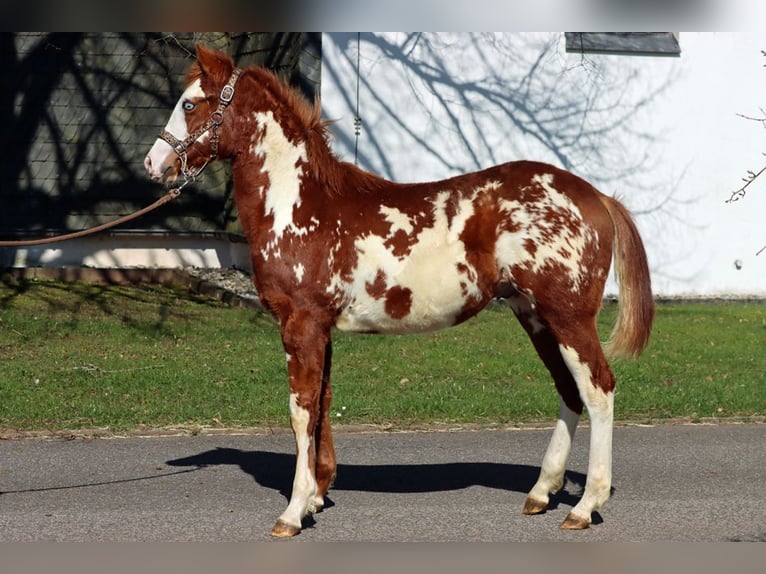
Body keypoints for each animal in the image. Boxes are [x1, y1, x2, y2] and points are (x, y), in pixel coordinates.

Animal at [144, 44, 654, 538]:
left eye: (189, 103)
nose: (154, 164)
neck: (301, 203)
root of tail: (596, 196)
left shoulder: (301, 323)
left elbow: (301, 409)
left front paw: (293, 510)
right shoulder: (322, 328)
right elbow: (323, 402)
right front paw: (316, 497)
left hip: (567, 316)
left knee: (598, 389)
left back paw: (586, 506)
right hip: (534, 315)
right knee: (569, 391)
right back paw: (542, 493)